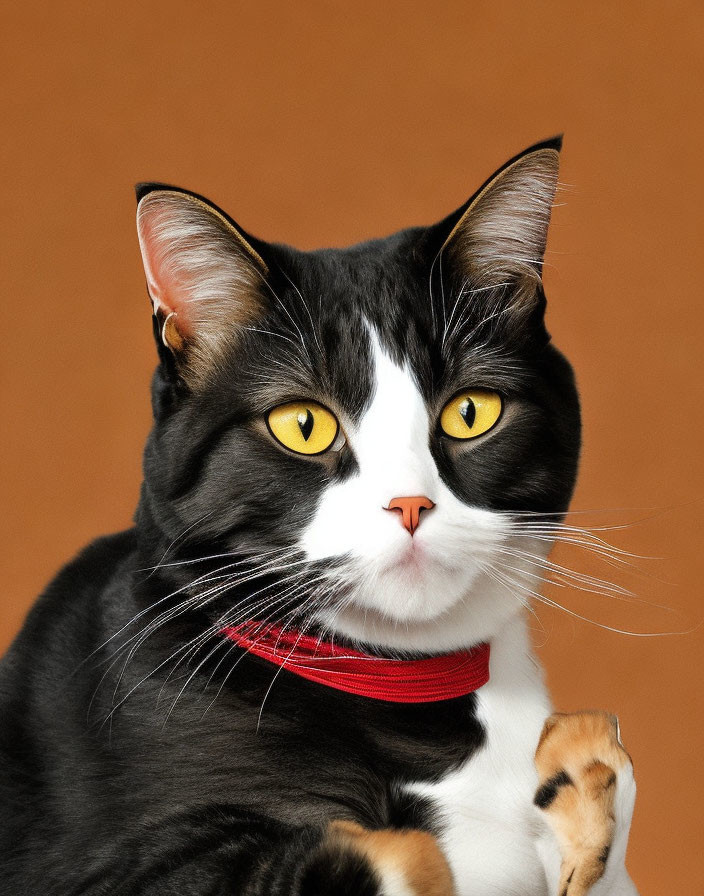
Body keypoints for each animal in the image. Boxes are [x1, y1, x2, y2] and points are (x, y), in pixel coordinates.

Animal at [0, 136, 640, 892]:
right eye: (303, 425)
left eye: (470, 412)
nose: (410, 503)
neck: (412, 690)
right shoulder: (105, 868)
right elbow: (384, 848)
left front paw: (582, 778)